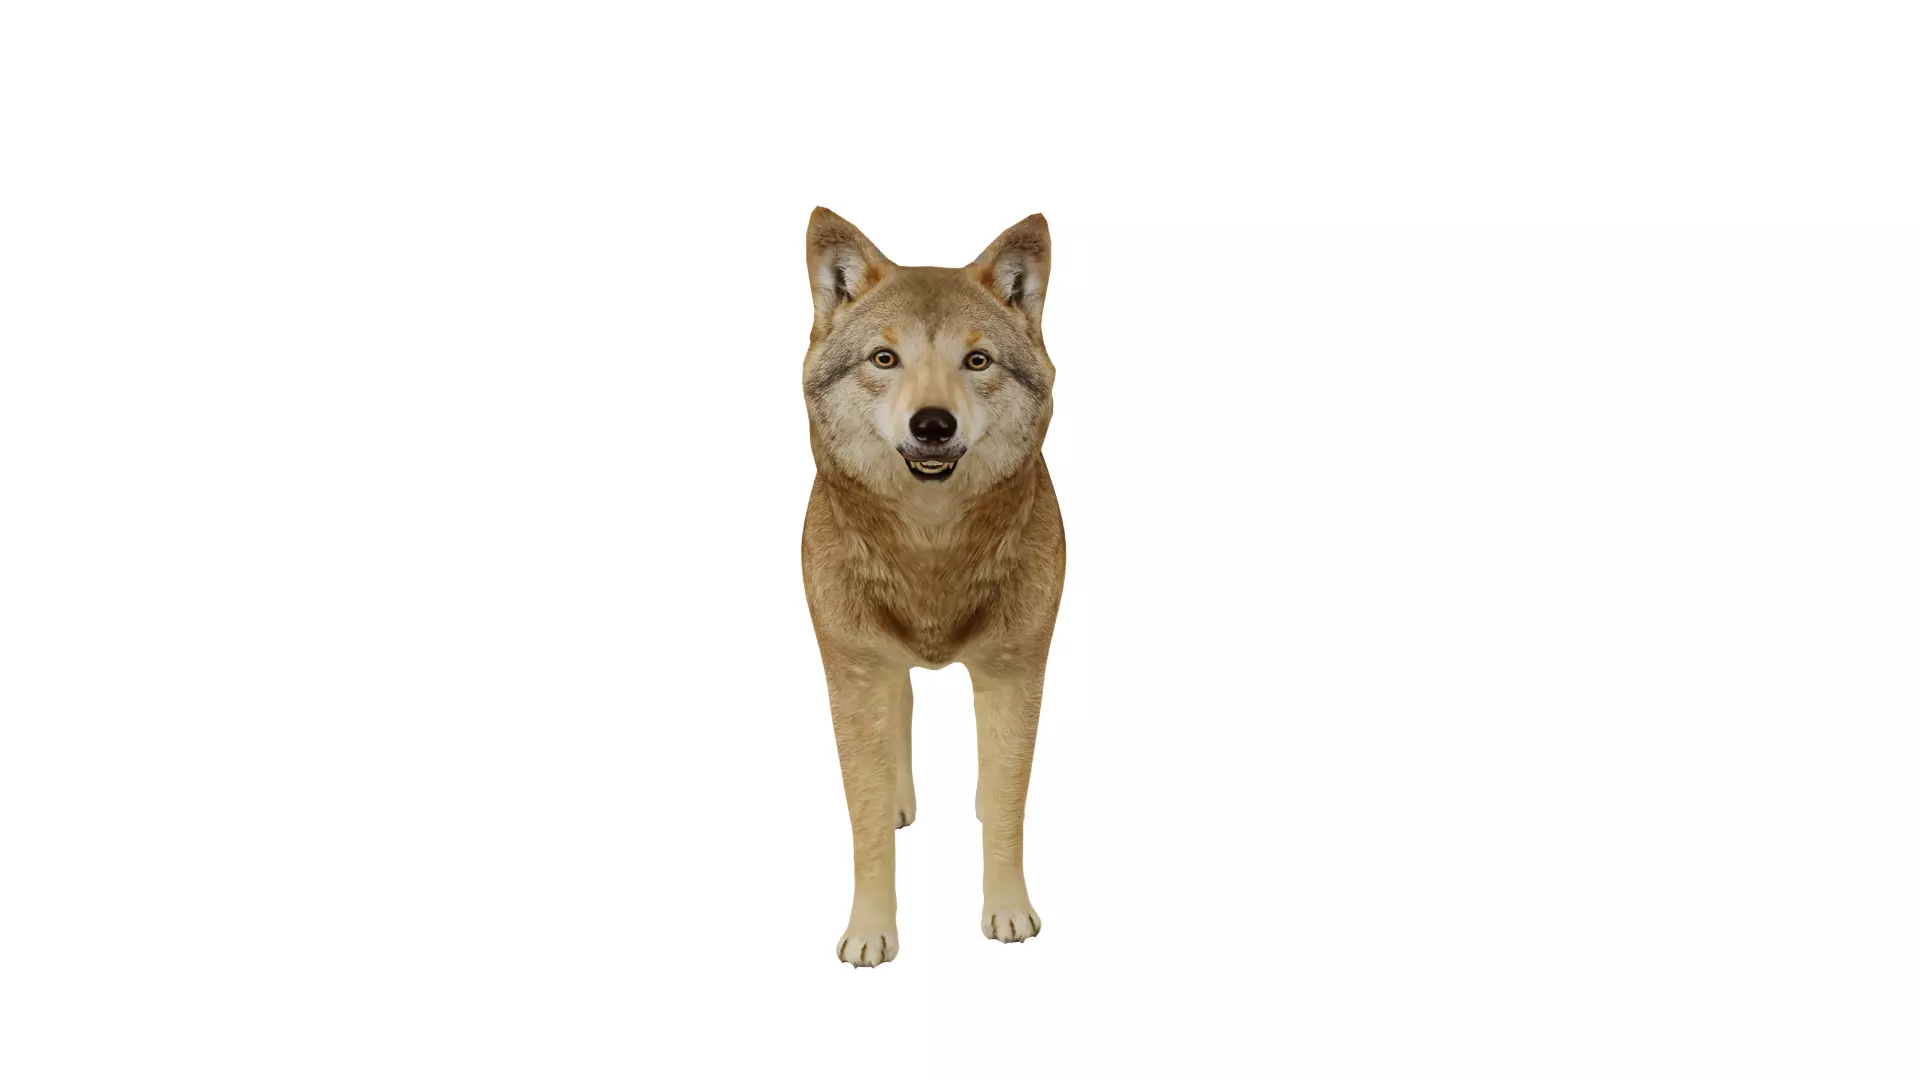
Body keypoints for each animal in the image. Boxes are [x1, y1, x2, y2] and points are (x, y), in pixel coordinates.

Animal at [800, 208, 1066, 967]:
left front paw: (1009, 914)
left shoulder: (1016, 670)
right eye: (883, 359)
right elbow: (863, 825)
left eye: (977, 361)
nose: (933, 425)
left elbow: (1008, 806)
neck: (931, 551)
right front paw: (869, 933)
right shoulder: (855, 671)